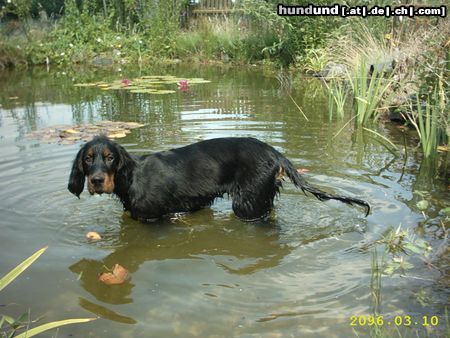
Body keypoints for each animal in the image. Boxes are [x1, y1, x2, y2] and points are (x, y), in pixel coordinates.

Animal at [67, 136, 370, 220]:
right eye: (87, 159)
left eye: (110, 158)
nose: (96, 180)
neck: (132, 177)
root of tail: (276, 154)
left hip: (247, 203)